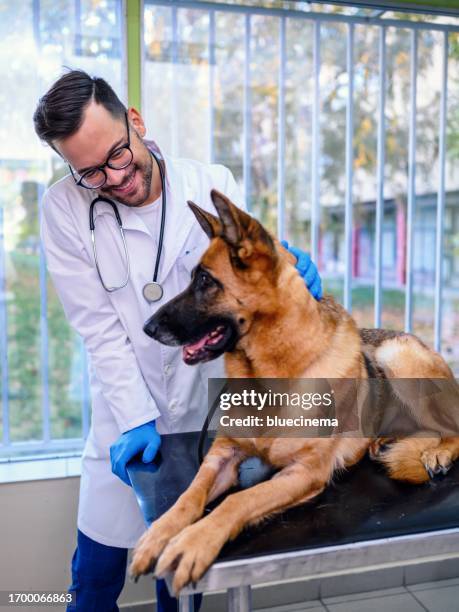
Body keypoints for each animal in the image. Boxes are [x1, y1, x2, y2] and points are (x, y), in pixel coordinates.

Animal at [129, 190, 459, 592]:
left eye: (205, 281)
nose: (147, 328)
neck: (269, 374)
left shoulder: (304, 473)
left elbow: (239, 500)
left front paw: (193, 542)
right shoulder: (221, 456)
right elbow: (188, 496)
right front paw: (159, 534)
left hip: (398, 357)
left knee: (452, 428)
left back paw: (437, 452)